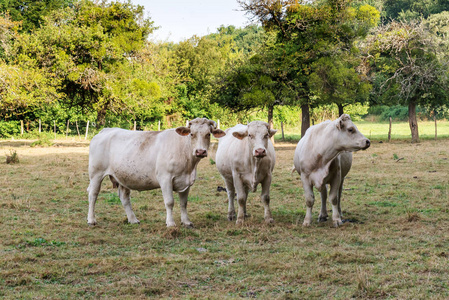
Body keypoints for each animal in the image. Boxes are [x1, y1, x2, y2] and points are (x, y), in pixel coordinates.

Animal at [86, 117, 226, 227]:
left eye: (208, 134)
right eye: (192, 134)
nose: (200, 151)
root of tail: (107, 130)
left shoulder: (186, 181)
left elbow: (184, 203)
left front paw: (186, 222)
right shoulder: (165, 178)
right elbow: (169, 202)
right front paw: (170, 223)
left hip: (123, 176)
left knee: (124, 198)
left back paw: (133, 219)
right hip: (96, 173)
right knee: (93, 194)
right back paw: (91, 220)